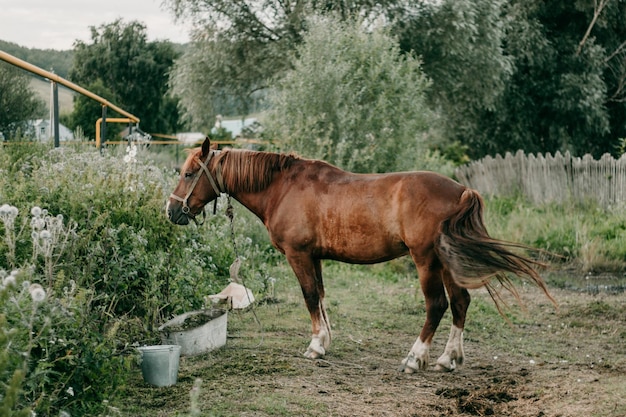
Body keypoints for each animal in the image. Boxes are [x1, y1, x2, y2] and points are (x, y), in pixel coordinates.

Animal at [166, 138, 552, 372]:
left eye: (188, 173)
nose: (171, 211)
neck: (283, 187)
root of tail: (460, 190)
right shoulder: (315, 257)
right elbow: (321, 297)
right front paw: (325, 340)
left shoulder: (298, 255)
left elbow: (309, 297)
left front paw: (315, 346)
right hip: (446, 263)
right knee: (460, 303)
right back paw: (448, 358)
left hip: (426, 262)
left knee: (437, 306)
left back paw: (416, 358)